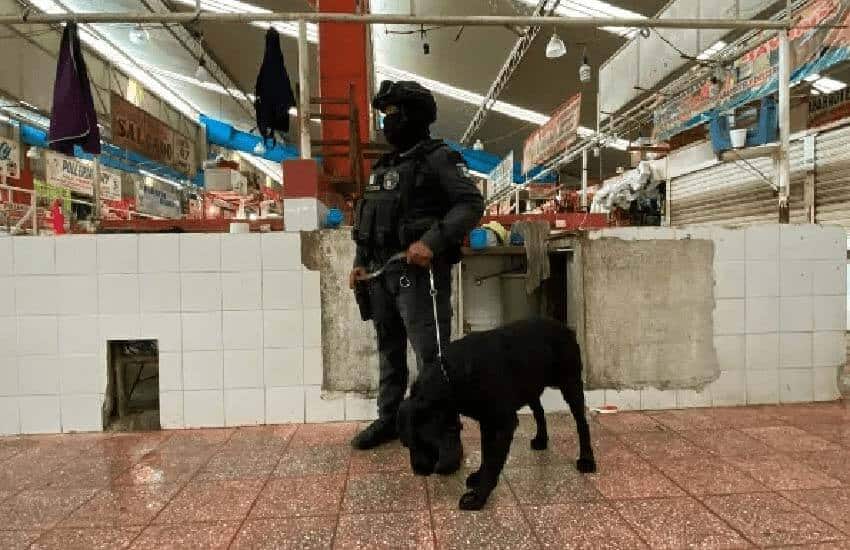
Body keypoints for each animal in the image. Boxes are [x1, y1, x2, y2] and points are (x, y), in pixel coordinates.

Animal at [398, 320, 596, 512]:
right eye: (407, 445)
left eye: (425, 442)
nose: (419, 471)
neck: (452, 376)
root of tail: (563, 326)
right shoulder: (487, 422)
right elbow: (486, 453)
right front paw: (479, 477)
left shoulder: (503, 424)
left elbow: (492, 461)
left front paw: (478, 497)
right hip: (530, 388)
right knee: (539, 412)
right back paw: (541, 439)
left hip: (570, 384)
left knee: (582, 423)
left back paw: (587, 460)